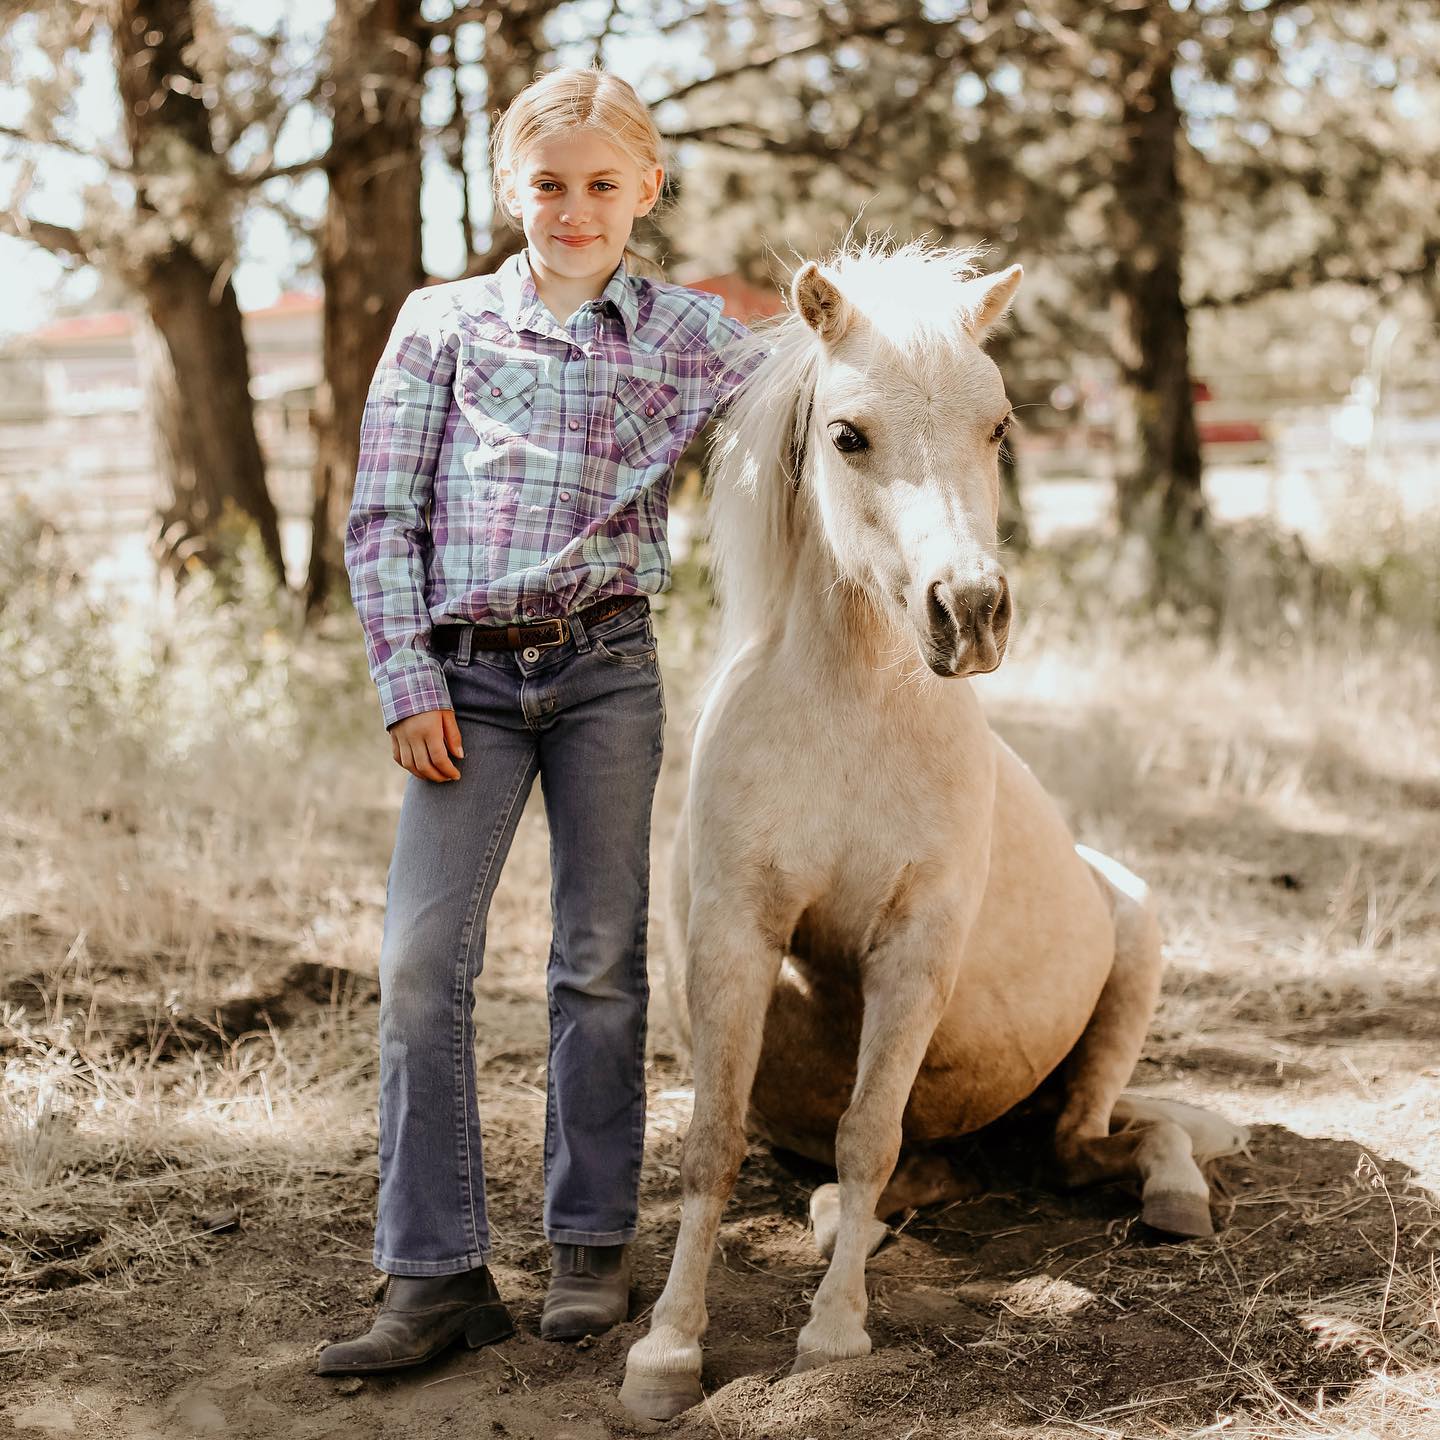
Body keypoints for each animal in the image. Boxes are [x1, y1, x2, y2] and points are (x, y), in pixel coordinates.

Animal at [619, 238, 1248, 1422]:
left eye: (997, 426)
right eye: (847, 434)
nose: (972, 612)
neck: (852, 717)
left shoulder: (911, 952)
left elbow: (868, 1133)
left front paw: (833, 1334)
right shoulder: (736, 939)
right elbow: (711, 1143)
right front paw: (667, 1349)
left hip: (1126, 980)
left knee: (1106, 1140)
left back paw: (1176, 1198)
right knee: (931, 1173)